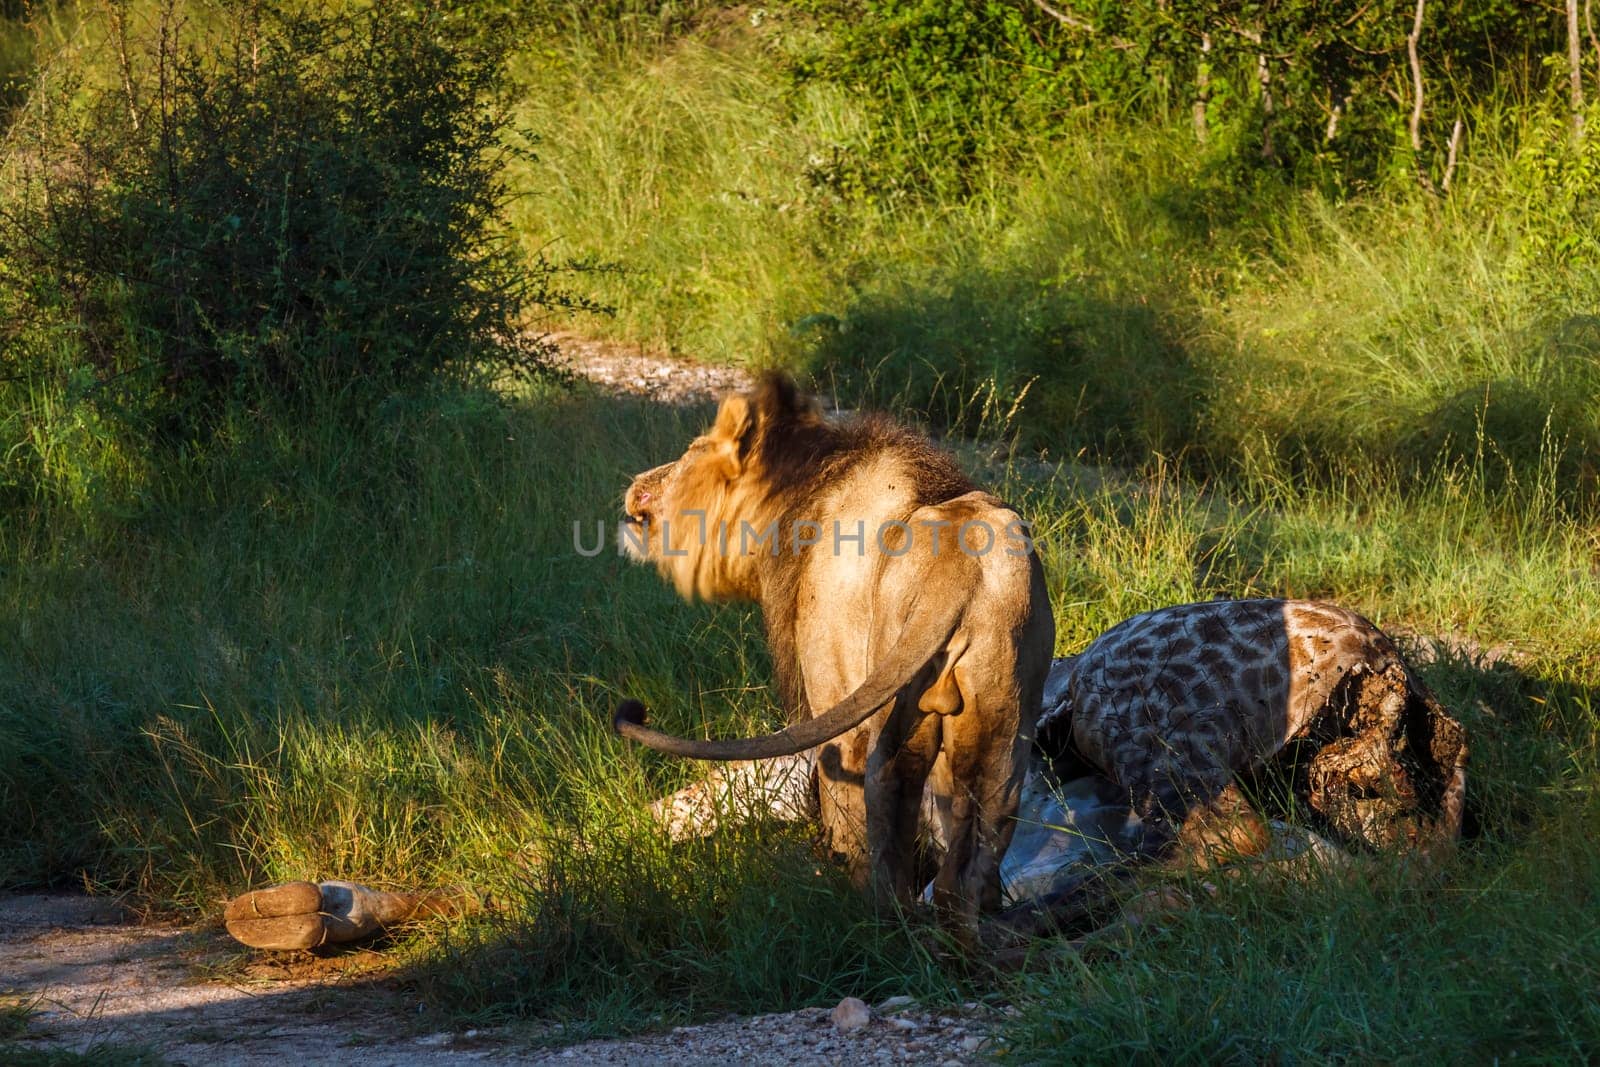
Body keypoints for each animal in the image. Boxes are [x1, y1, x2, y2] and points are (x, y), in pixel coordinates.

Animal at [608, 374, 1049, 934]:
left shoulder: (831, 685)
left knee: (882, 801)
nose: (638, 483)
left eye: (690, 455)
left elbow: (842, 809)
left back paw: (875, 916)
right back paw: (974, 927)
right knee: (973, 848)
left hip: (885, 709)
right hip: (1004, 723)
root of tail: (960, 572)